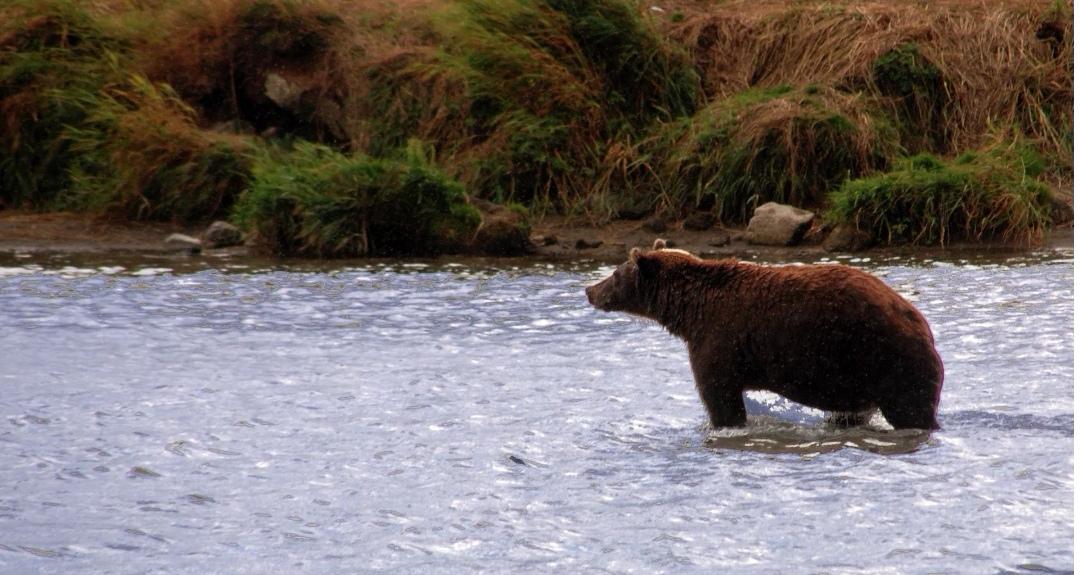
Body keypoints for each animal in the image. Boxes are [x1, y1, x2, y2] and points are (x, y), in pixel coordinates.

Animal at [585, 241, 943, 430]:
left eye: (615, 273)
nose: (589, 290)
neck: (690, 310)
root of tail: (922, 324)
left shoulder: (717, 341)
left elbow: (720, 399)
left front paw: (721, 425)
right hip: (859, 376)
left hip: (888, 360)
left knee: (911, 410)